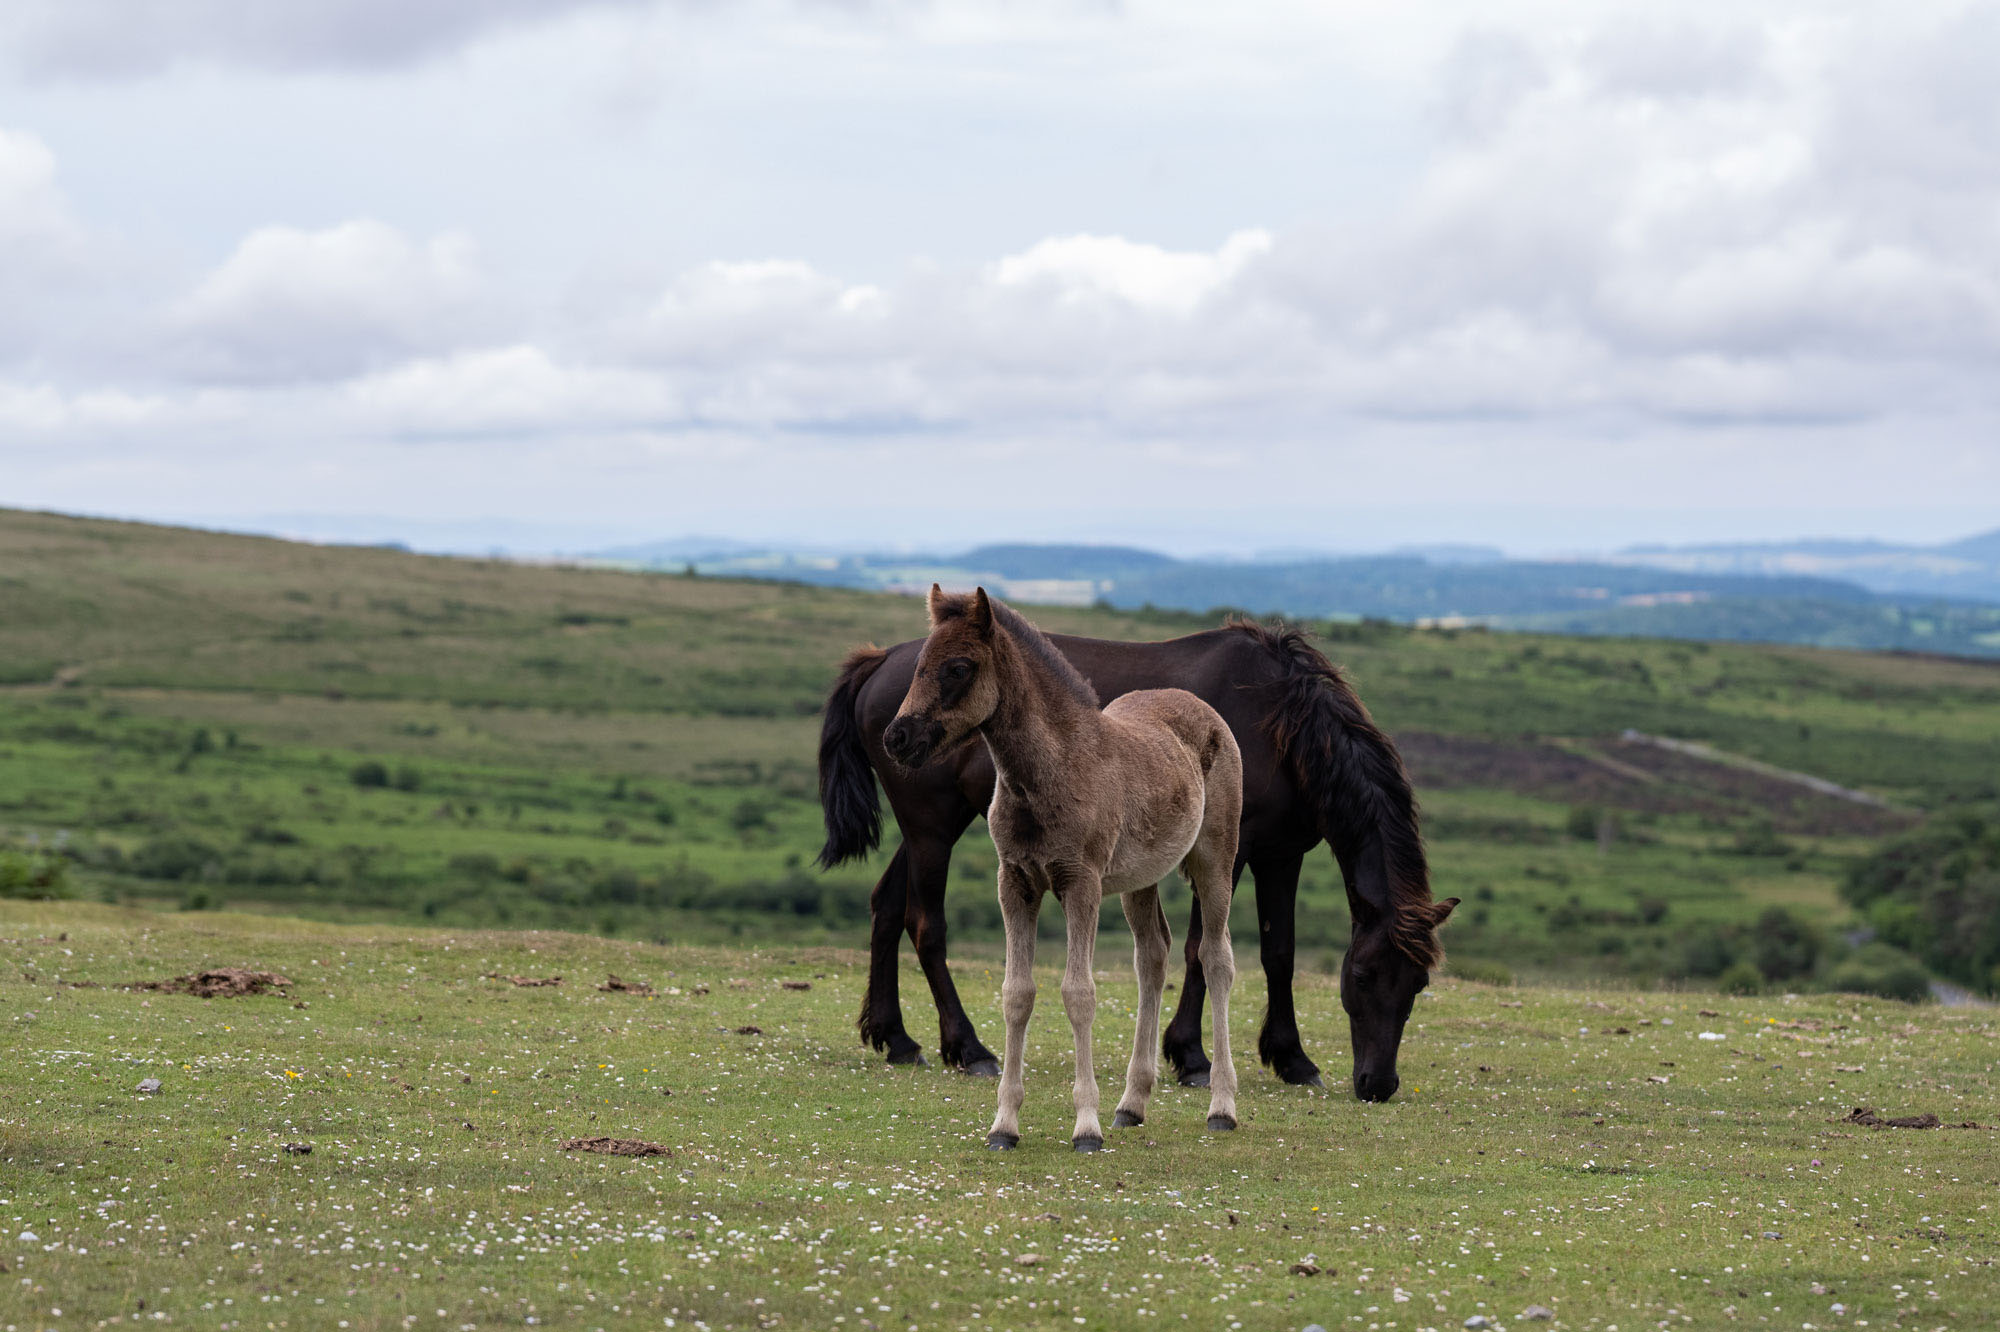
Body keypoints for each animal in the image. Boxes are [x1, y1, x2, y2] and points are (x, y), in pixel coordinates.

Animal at [819, 610, 1455, 1103]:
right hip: (932, 828)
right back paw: (968, 1048)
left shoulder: (1281, 854)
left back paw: (896, 1039)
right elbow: (1200, 949)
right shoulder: (1226, 851)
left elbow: (1279, 954)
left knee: (885, 907)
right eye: (1363, 976)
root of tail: (882, 662)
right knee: (925, 923)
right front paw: (1191, 1057)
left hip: (931, 829)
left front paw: (1292, 1059)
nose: (1378, 1084)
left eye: (1418, 984)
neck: (1278, 718)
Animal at [883, 586, 1243, 1149]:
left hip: (1214, 861)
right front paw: (1004, 1125)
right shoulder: (1015, 882)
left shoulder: (1082, 884)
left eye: (958, 668)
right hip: (1141, 879)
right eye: (919, 664)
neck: (1051, 771)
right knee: (1152, 956)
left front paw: (1086, 1127)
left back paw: (1221, 1107)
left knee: (1216, 958)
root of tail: (1203, 709)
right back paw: (1131, 1104)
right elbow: (1017, 993)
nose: (896, 738)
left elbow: (1079, 993)